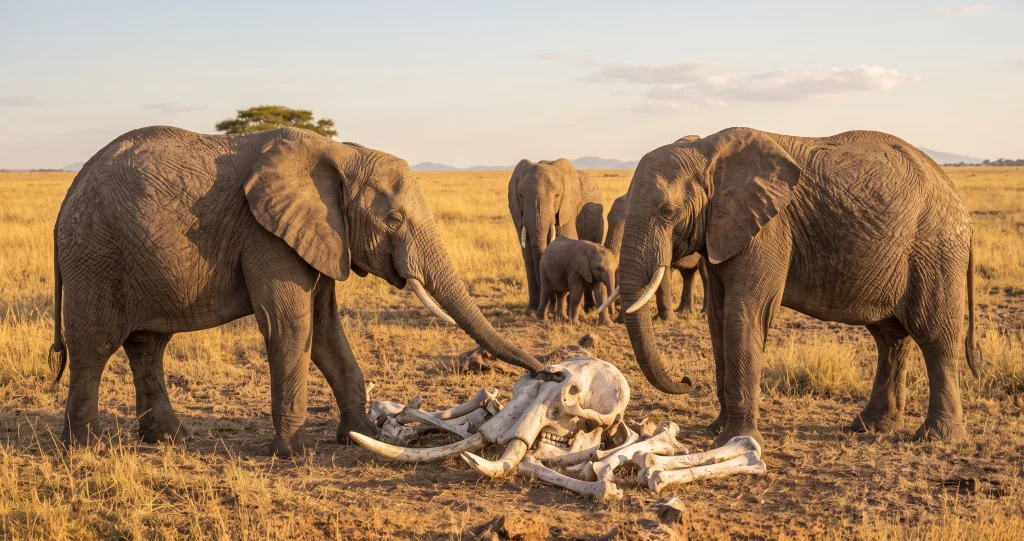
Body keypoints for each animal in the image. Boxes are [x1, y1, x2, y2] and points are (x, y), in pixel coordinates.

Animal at [48, 125, 543, 456]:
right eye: (393, 220)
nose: (548, 373)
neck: (341, 153)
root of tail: (67, 195)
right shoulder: (266, 237)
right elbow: (291, 326)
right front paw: (294, 452)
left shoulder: (320, 234)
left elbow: (325, 330)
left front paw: (361, 436)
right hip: (95, 257)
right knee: (94, 346)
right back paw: (85, 448)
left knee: (147, 346)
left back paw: (171, 439)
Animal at [508, 158, 604, 315]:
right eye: (520, 195)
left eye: (557, 196)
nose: (548, 308)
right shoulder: (518, 214)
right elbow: (528, 254)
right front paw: (531, 311)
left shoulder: (567, 209)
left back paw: (589, 309)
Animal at [616, 128, 977, 447]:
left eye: (668, 212)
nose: (687, 381)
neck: (705, 150)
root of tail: (959, 200)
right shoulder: (720, 231)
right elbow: (718, 318)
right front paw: (716, 430)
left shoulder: (768, 230)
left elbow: (744, 314)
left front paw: (735, 439)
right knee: (890, 338)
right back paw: (868, 426)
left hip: (936, 252)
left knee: (935, 337)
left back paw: (937, 438)